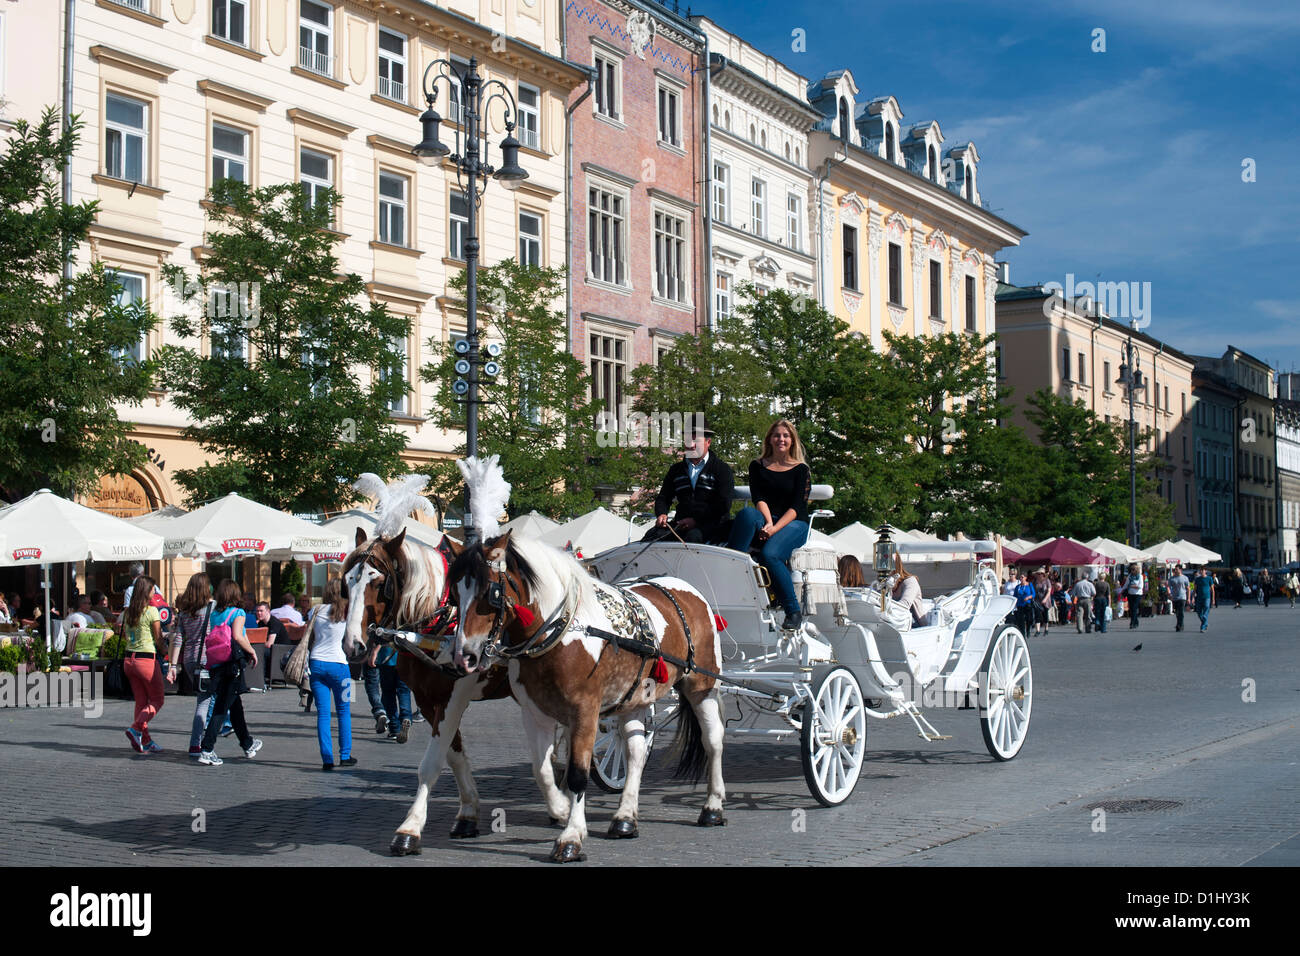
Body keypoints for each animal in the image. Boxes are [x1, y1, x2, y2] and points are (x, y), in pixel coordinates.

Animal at [343, 528, 572, 858]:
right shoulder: (427, 701)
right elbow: (454, 755)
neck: (439, 626)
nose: (353, 646)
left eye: (378, 583)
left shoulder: (454, 698)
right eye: (347, 581)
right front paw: (467, 813)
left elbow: (431, 764)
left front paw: (409, 828)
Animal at [447, 535, 733, 863]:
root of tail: (686, 589)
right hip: (634, 698)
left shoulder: (585, 712)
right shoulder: (534, 714)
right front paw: (560, 808)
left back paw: (712, 807)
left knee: (712, 741)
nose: (464, 656)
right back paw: (625, 818)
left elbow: (577, 775)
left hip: (702, 685)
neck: (561, 633)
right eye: (454, 594)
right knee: (635, 751)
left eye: (490, 593)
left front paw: (571, 837)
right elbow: (542, 770)